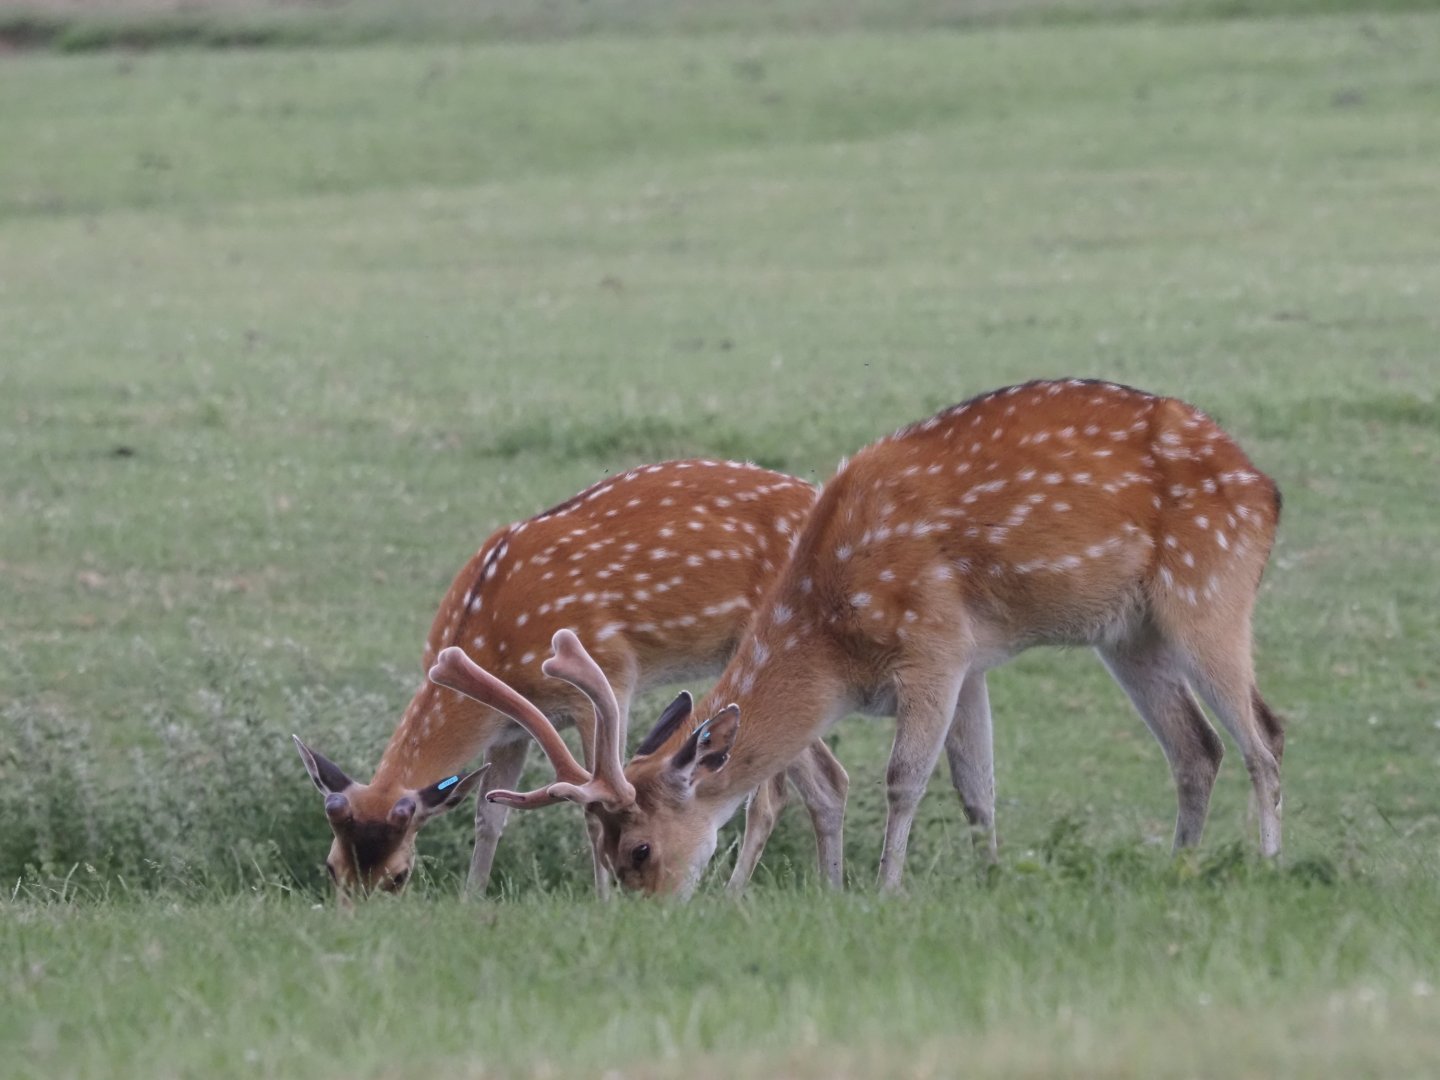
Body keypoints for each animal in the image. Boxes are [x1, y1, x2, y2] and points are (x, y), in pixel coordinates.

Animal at [293, 458, 850, 897]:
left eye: (399, 876)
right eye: (332, 867)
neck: (490, 639)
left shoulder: (606, 680)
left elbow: (590, 810)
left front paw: (603, 903)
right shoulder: (511, 728)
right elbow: (489, 815)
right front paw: (471, 901)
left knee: (782, 791)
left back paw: (737, 897)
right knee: (826, 782)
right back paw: (829, 890)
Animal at [428, 378, 1286, 895]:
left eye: (637, 849)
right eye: (608, 850)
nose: (650, 908)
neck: (838, 646)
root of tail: (1267, 488)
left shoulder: (935, 642)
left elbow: (907, 778)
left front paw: (885, 889)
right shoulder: (970, 660)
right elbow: (976, 784)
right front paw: (987, 879)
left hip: (1209, 586)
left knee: (1264, 733)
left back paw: (1269, 861)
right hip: (1129, 634)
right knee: (1196, 747)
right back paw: (1180, 867)